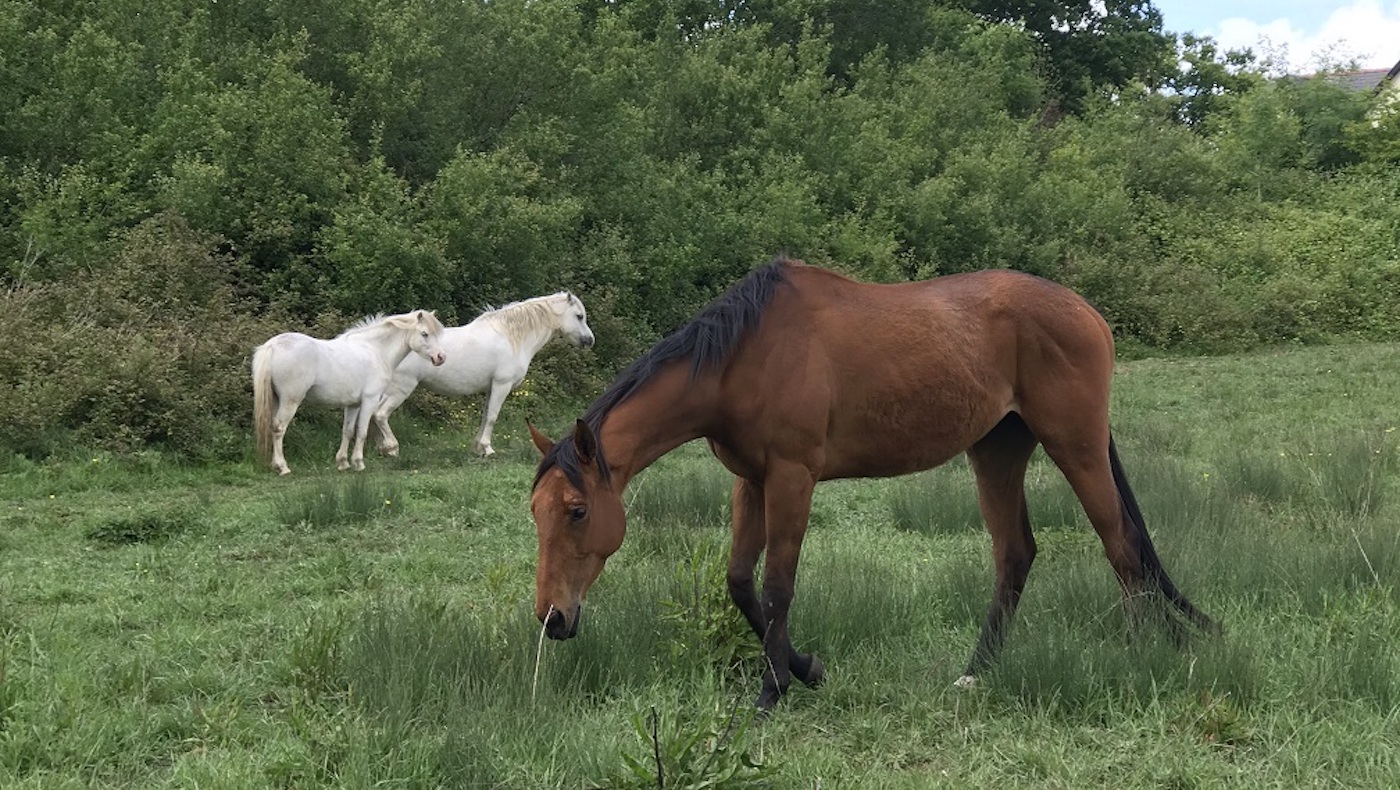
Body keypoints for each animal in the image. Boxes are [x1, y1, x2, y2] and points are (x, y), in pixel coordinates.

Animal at [252, 310, 446, 475]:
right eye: (424, 334)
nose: (441, 357)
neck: (375, 350)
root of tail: (273, 345)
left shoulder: (353, 404)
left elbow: (348, 431)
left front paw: (343, 463)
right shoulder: (370, 400)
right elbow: (362, 431)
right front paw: (359, 463)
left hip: (276, 400)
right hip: (290, 400)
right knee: (279, 428)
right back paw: (282, 467)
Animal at [372, 292, 594, 459]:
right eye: (579, 316)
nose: (589, 340)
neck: (510, 337)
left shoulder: (490, 387)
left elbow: (486, 415)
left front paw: (478, 447)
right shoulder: (501, 385)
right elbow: (493, 417)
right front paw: (487, 449)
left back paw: (381, 449)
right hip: (401, 388)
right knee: (381, 414)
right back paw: (391, 448)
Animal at [528, 256, 1218, 711]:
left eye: (577, 511)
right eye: (535, 513)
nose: (552, 619)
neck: (742, 358)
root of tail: (1087, 313)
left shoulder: (792, 478)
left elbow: (777, 586)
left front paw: (773, 690)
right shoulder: (751, 481)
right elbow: (741, 584)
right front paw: (806, 668)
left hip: (1075, 445)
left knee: (1120, 545)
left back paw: (1145, 655)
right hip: (997, 451)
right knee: (1017, 554)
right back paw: (976, 672)